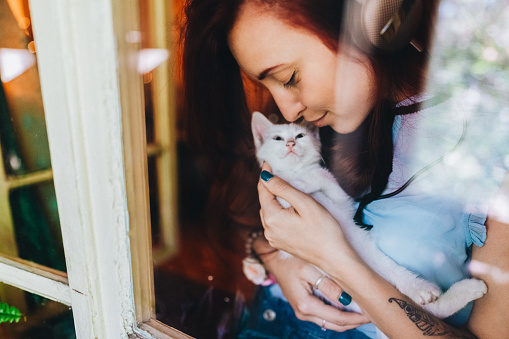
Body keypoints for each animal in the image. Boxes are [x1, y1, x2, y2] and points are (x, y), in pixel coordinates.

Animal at [252, 111, 486, 322]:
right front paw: (291, 184)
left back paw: (429, 289)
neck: (295, 170)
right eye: (277, 138)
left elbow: (322, 176)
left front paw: (302, 182)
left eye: (300, 136)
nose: (291, 143)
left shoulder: (342, 200)